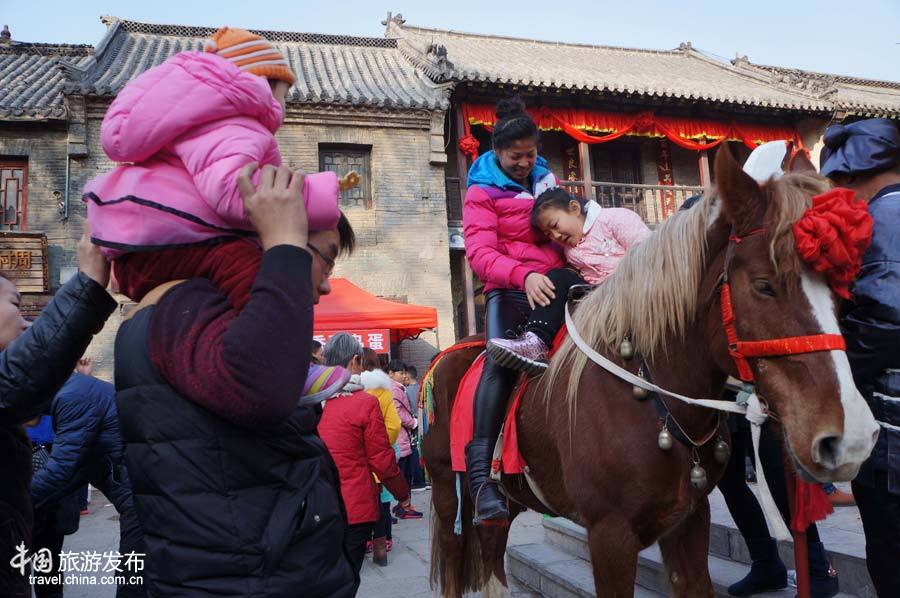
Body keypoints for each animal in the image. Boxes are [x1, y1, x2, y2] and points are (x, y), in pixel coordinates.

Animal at [424, 146, 880, 598]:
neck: (654, 395)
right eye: (764, 284)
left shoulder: (689, 520)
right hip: (448, 492)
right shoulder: (609, 534)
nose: (851, 438)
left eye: (841, 289)